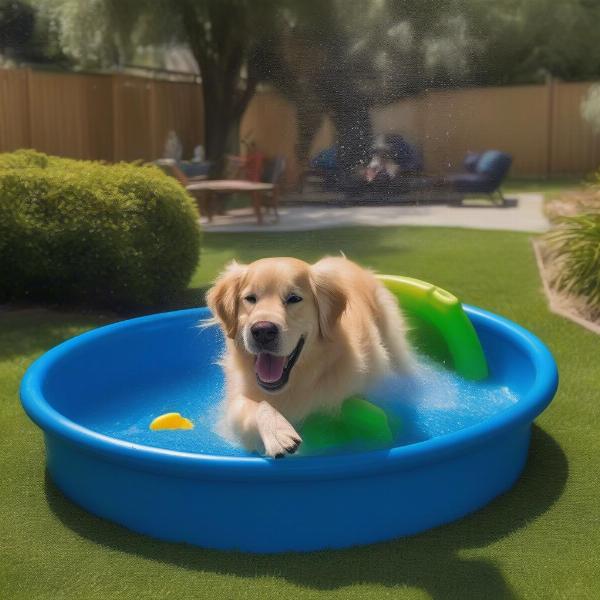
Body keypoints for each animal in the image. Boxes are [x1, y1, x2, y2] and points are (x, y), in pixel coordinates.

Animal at [207, 255, 412, 458]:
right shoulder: (237, 398)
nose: (263, 331)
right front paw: (278, 433)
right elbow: (251, 406)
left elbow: (363, 410)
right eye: (250, 298)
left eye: (294, 299)